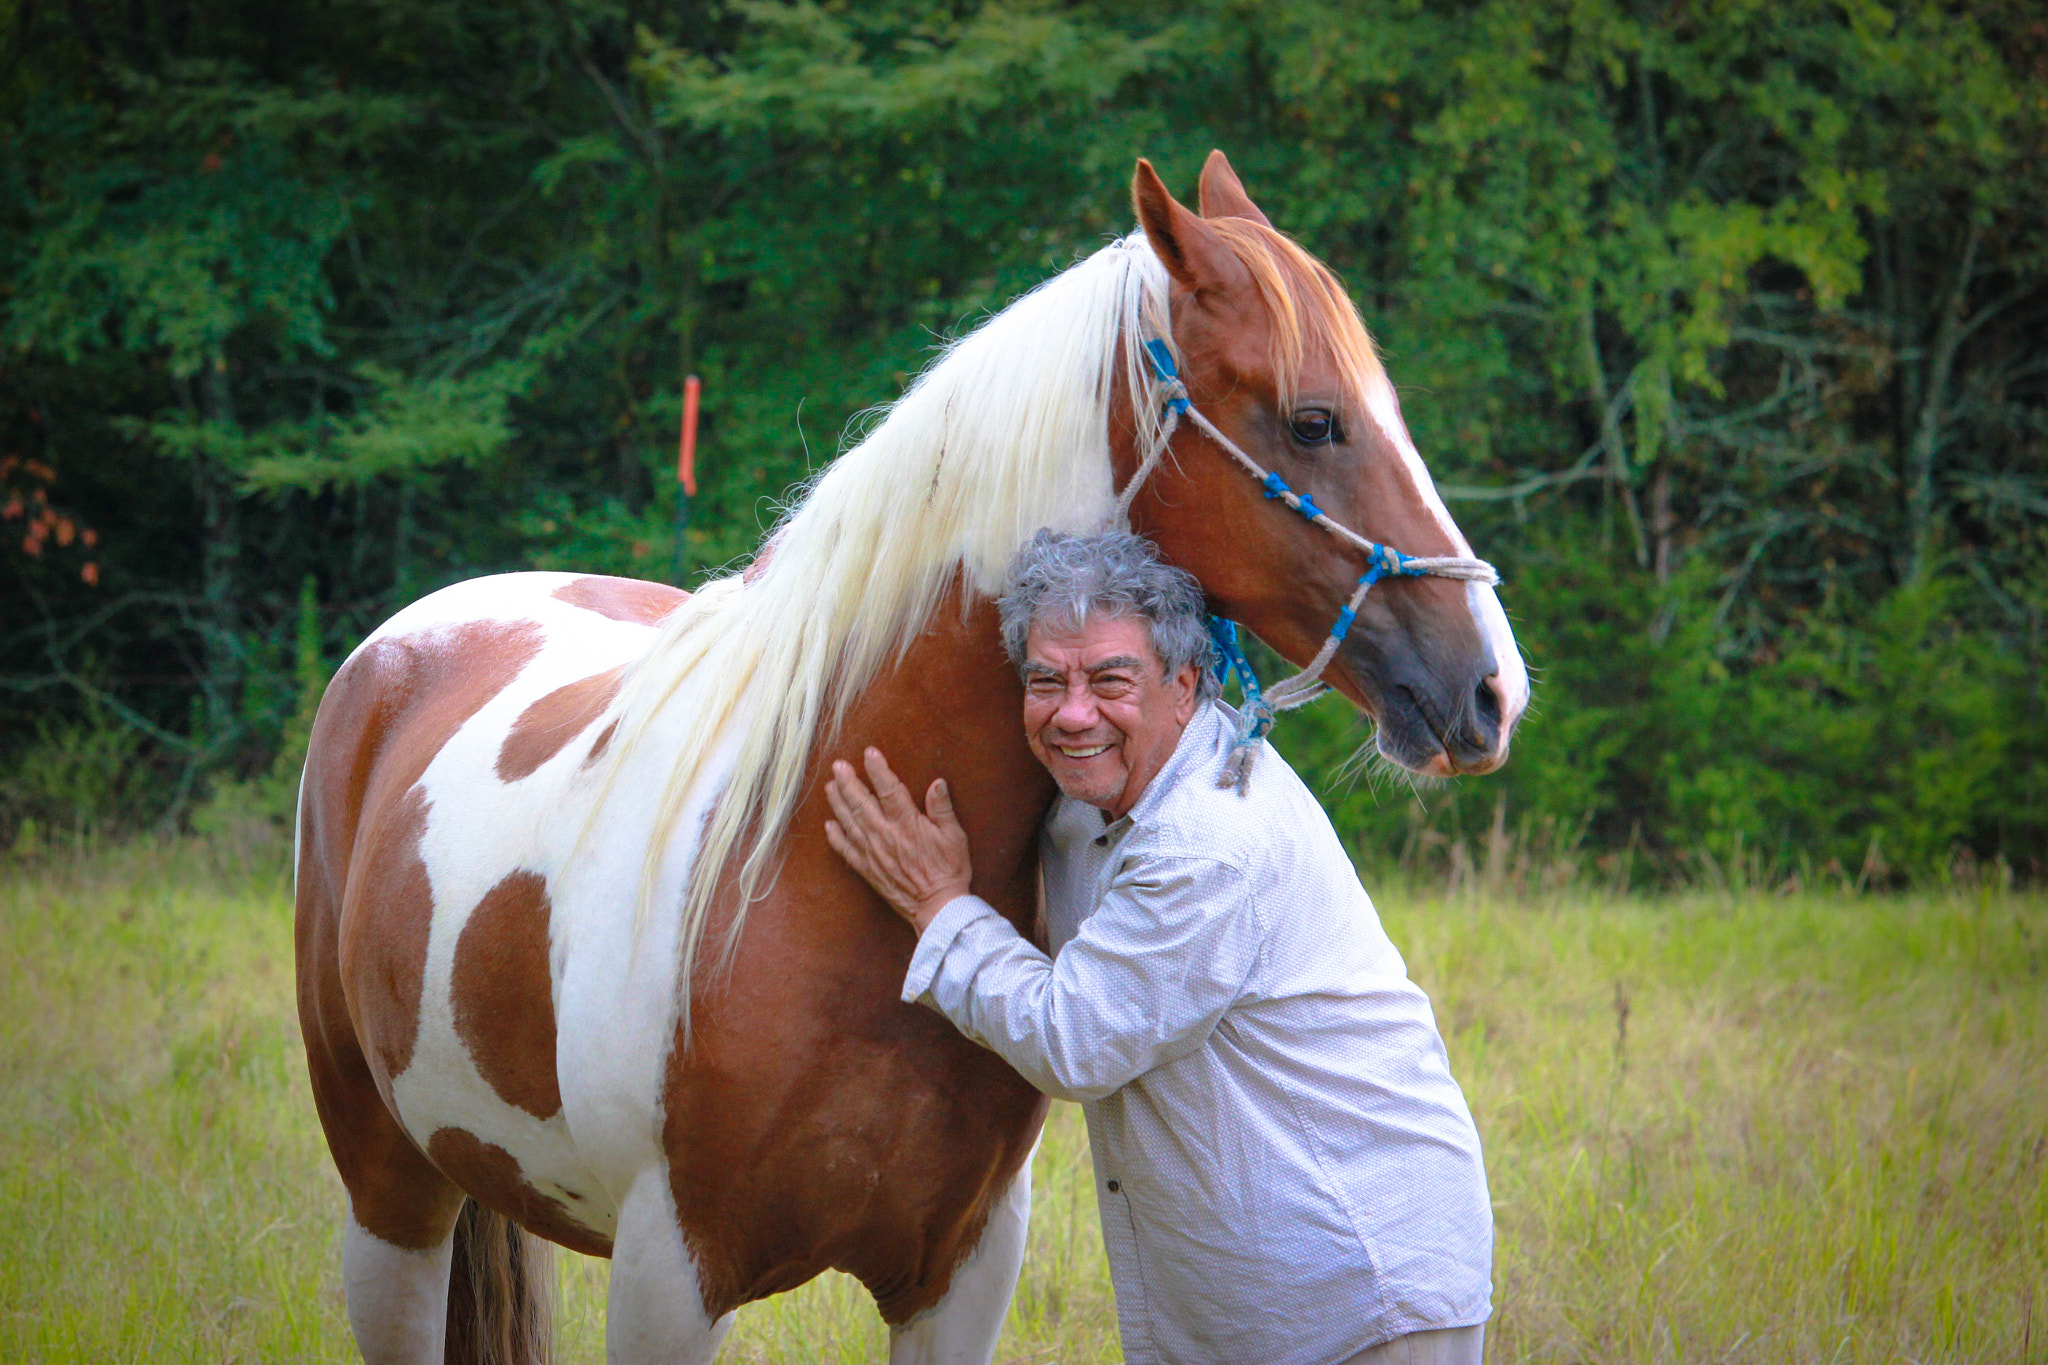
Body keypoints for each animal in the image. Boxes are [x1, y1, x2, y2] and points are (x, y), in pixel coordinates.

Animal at [295, 150, 1529, 1365]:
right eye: (1314, 422)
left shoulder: (960, 1276)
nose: (1491, 687)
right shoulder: (666, 1277)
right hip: (391, 1202)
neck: (796, 861)